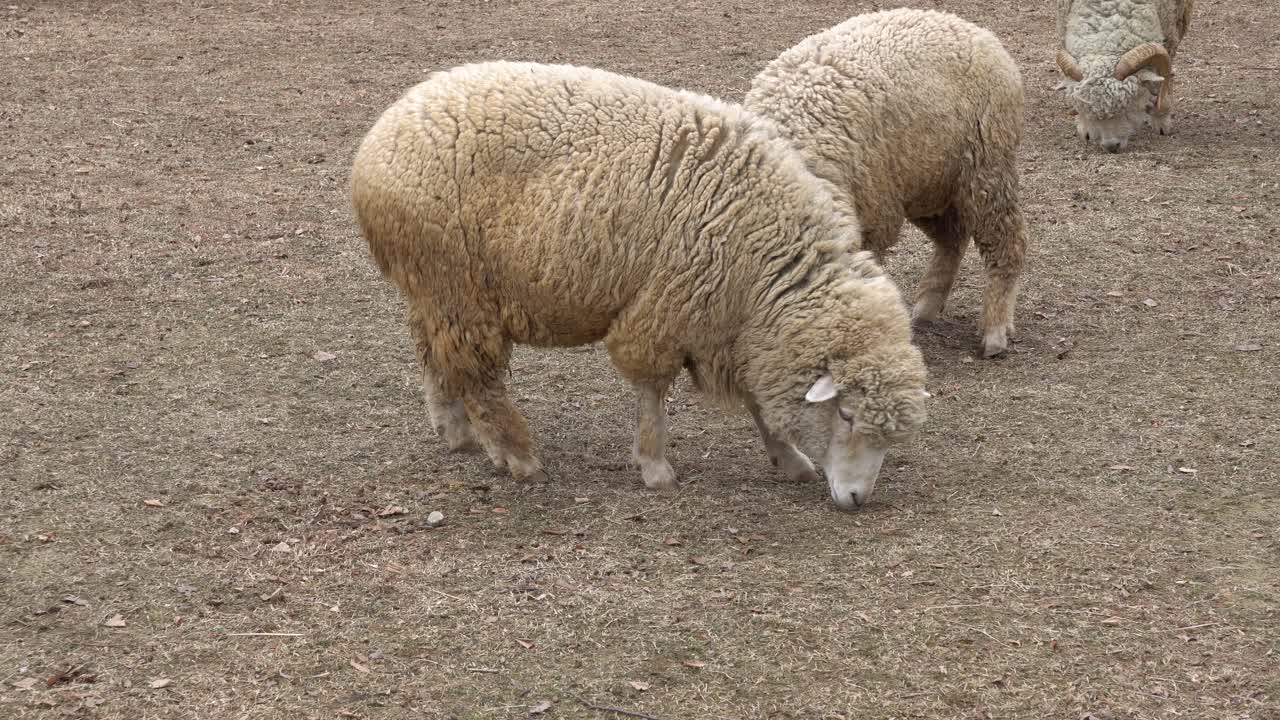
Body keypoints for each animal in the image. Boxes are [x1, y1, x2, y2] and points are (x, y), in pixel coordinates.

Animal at [350, 61, 929, 510]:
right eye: (847, 414)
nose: (856, 500)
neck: (766, 263)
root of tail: (378, 141)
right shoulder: (667, 308)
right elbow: (652, 390)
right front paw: (655, 465)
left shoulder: (732, 327)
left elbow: (757, 400)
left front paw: (788, 458)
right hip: (460, 287)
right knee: (479, 378)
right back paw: (517, 456)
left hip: (432, 289)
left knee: (434, 355)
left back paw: (457, 433)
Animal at [743, 8, 1028, 359]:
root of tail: (968, 26)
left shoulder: (872, 221)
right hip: (926, 179)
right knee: (952, 238)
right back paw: (927, 307)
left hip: (986, 166)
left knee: (1008, 241)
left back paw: (995, 329)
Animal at [1055, 0, 1195, 152]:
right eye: (1090, 111)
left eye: (1129, 106)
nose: (1111, 146)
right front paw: (1086, 127)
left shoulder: (1170, 32)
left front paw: (1161, 118)